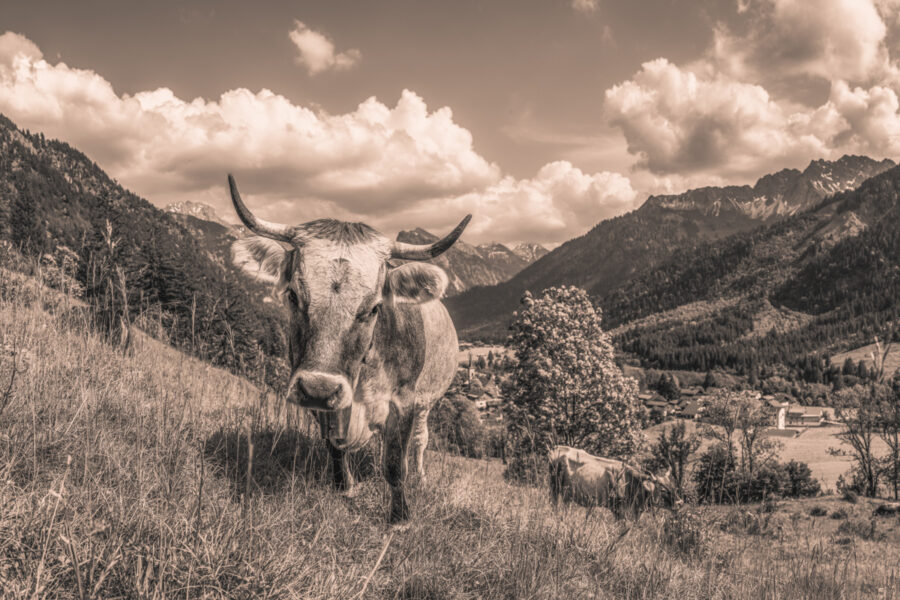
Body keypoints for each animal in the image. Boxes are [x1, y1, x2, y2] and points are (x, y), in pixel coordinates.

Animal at [548, 446, 684, 520]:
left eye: (674, 487)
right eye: (663, 490)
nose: (680, 502)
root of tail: (557, 447)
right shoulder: (619, 510)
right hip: (555, 488)